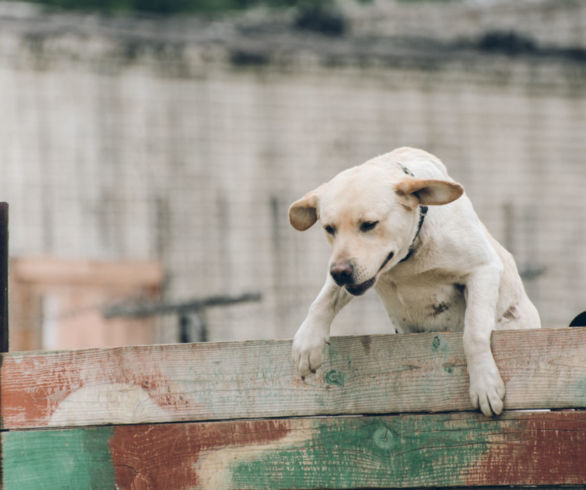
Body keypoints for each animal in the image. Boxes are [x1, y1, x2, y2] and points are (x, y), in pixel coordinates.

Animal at [288, 147, 540, 416]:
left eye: (369, 225)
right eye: (329, 228)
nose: (340, 273)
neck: (409, 254)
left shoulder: (483, 268)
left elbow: (474, 331)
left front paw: (484, 384)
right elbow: (322, 301)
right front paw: (307, 343)